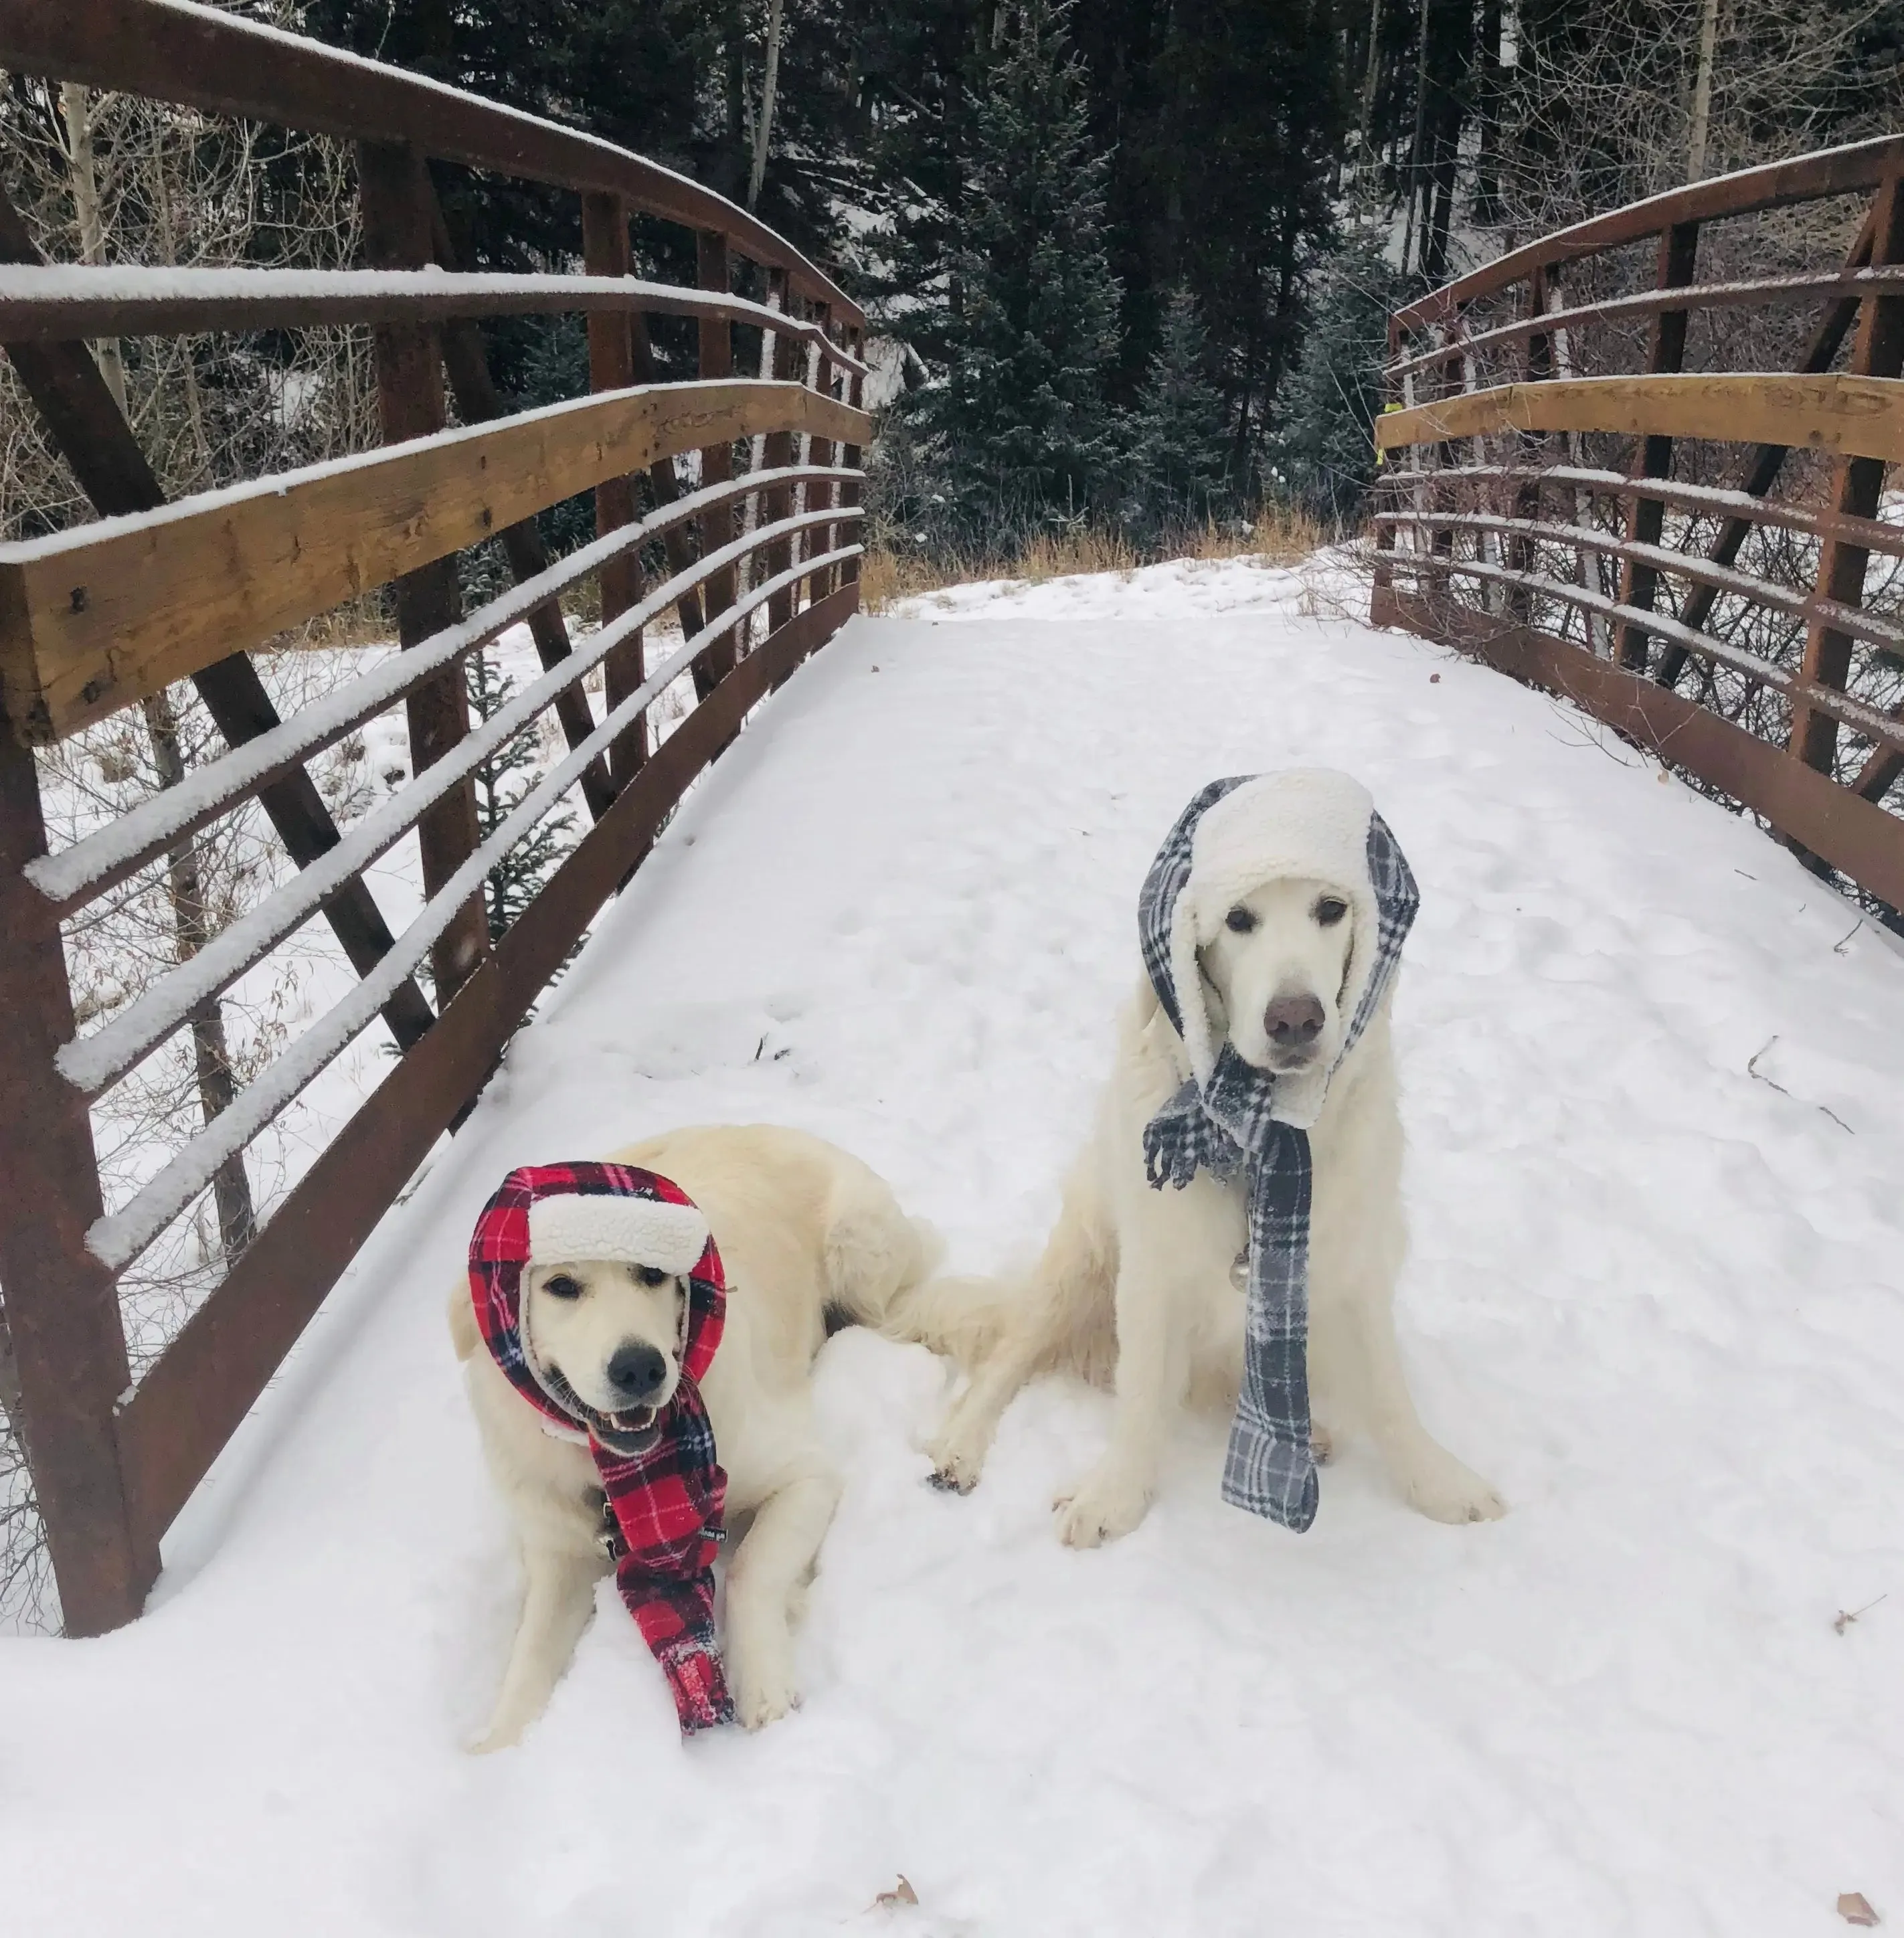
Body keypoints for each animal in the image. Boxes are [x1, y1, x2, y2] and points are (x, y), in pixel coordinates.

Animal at [455, 1124, 946, 1744]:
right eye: (561, 1286)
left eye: (653, 1274)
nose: (640, 1368)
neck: (626, 1474)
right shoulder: (556, 1547)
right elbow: (528, 1655)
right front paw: (496, 1746)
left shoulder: (806, 1475)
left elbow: (749, 1567)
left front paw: (763, 1686)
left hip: (859, 1255)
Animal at [907, 767, 1504, 1543]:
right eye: (1238, 920)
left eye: (1331, 908)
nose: (1295, 1019)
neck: (1261, 1139)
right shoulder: (1151, 1273)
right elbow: (1136, 1401)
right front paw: (1112, 1498)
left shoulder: (1355, 1266)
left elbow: (1389, 1393)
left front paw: (1440, 1484)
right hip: (1078, 1260)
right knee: (1007, 1359)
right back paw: (959, 1447)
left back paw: (1308, 1433)